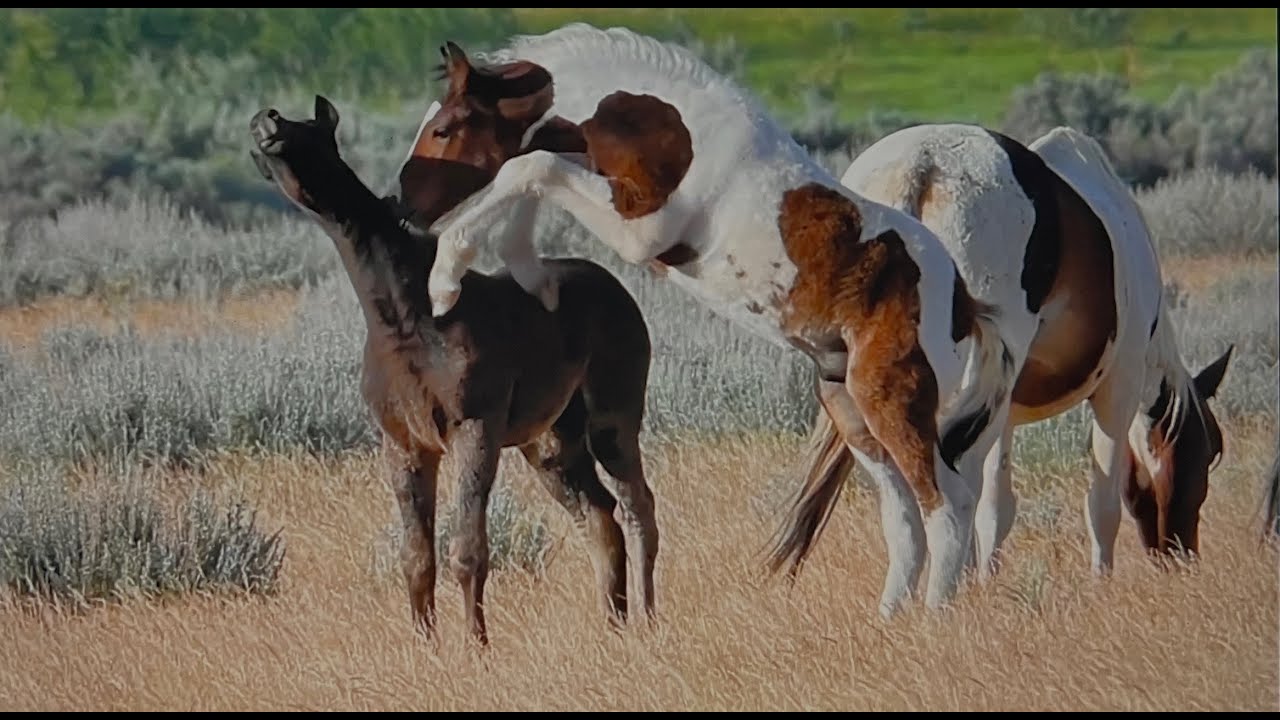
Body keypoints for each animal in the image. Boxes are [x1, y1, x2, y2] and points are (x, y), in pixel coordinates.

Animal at [248, 95, 660, 646]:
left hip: (613, 422)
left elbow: (467, 549)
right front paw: (426, 646)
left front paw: (474, 647)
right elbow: (416, 558)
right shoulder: (405, 445)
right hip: (550, 446)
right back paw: (613, 626)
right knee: (600, 518)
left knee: (638, 509)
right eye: (265, 157)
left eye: (312, 130)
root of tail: (621, 293)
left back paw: (649, 621)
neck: (408, 319)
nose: (266, 120)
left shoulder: (474, 429)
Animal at [391, 23, 1024, 617]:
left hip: (892, 397)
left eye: (444, 128)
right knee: (904, 514)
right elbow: (529, 174)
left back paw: (934, 620)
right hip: (851, 409)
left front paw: (445, 279)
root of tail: (964, 301)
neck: (666, 124)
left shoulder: (639, 228)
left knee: (947, 504)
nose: (403, 206)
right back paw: (889, 620)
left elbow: (531, 167)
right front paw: (527, 275)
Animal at [782, 122, 1232, 582]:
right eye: (1208, 452)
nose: (1182, 557)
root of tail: (920, 167)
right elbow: (1101, 505)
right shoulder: (1118, 387)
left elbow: (995, 509)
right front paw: (1100, 582)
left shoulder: (1006, 410)